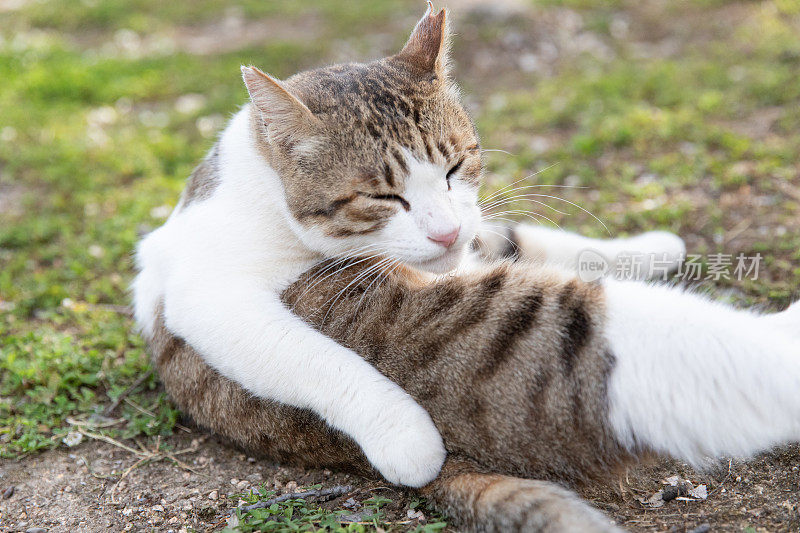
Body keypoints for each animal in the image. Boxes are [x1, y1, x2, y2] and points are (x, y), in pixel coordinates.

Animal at [134, 4, 796, 528]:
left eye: (455, 166)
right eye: (383, 197)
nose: (446, 231)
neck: (265, 187)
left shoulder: (476, 228)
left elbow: (519, 238)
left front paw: (647, 246)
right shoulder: (209, 292)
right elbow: (305, 356)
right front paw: (404, 437)